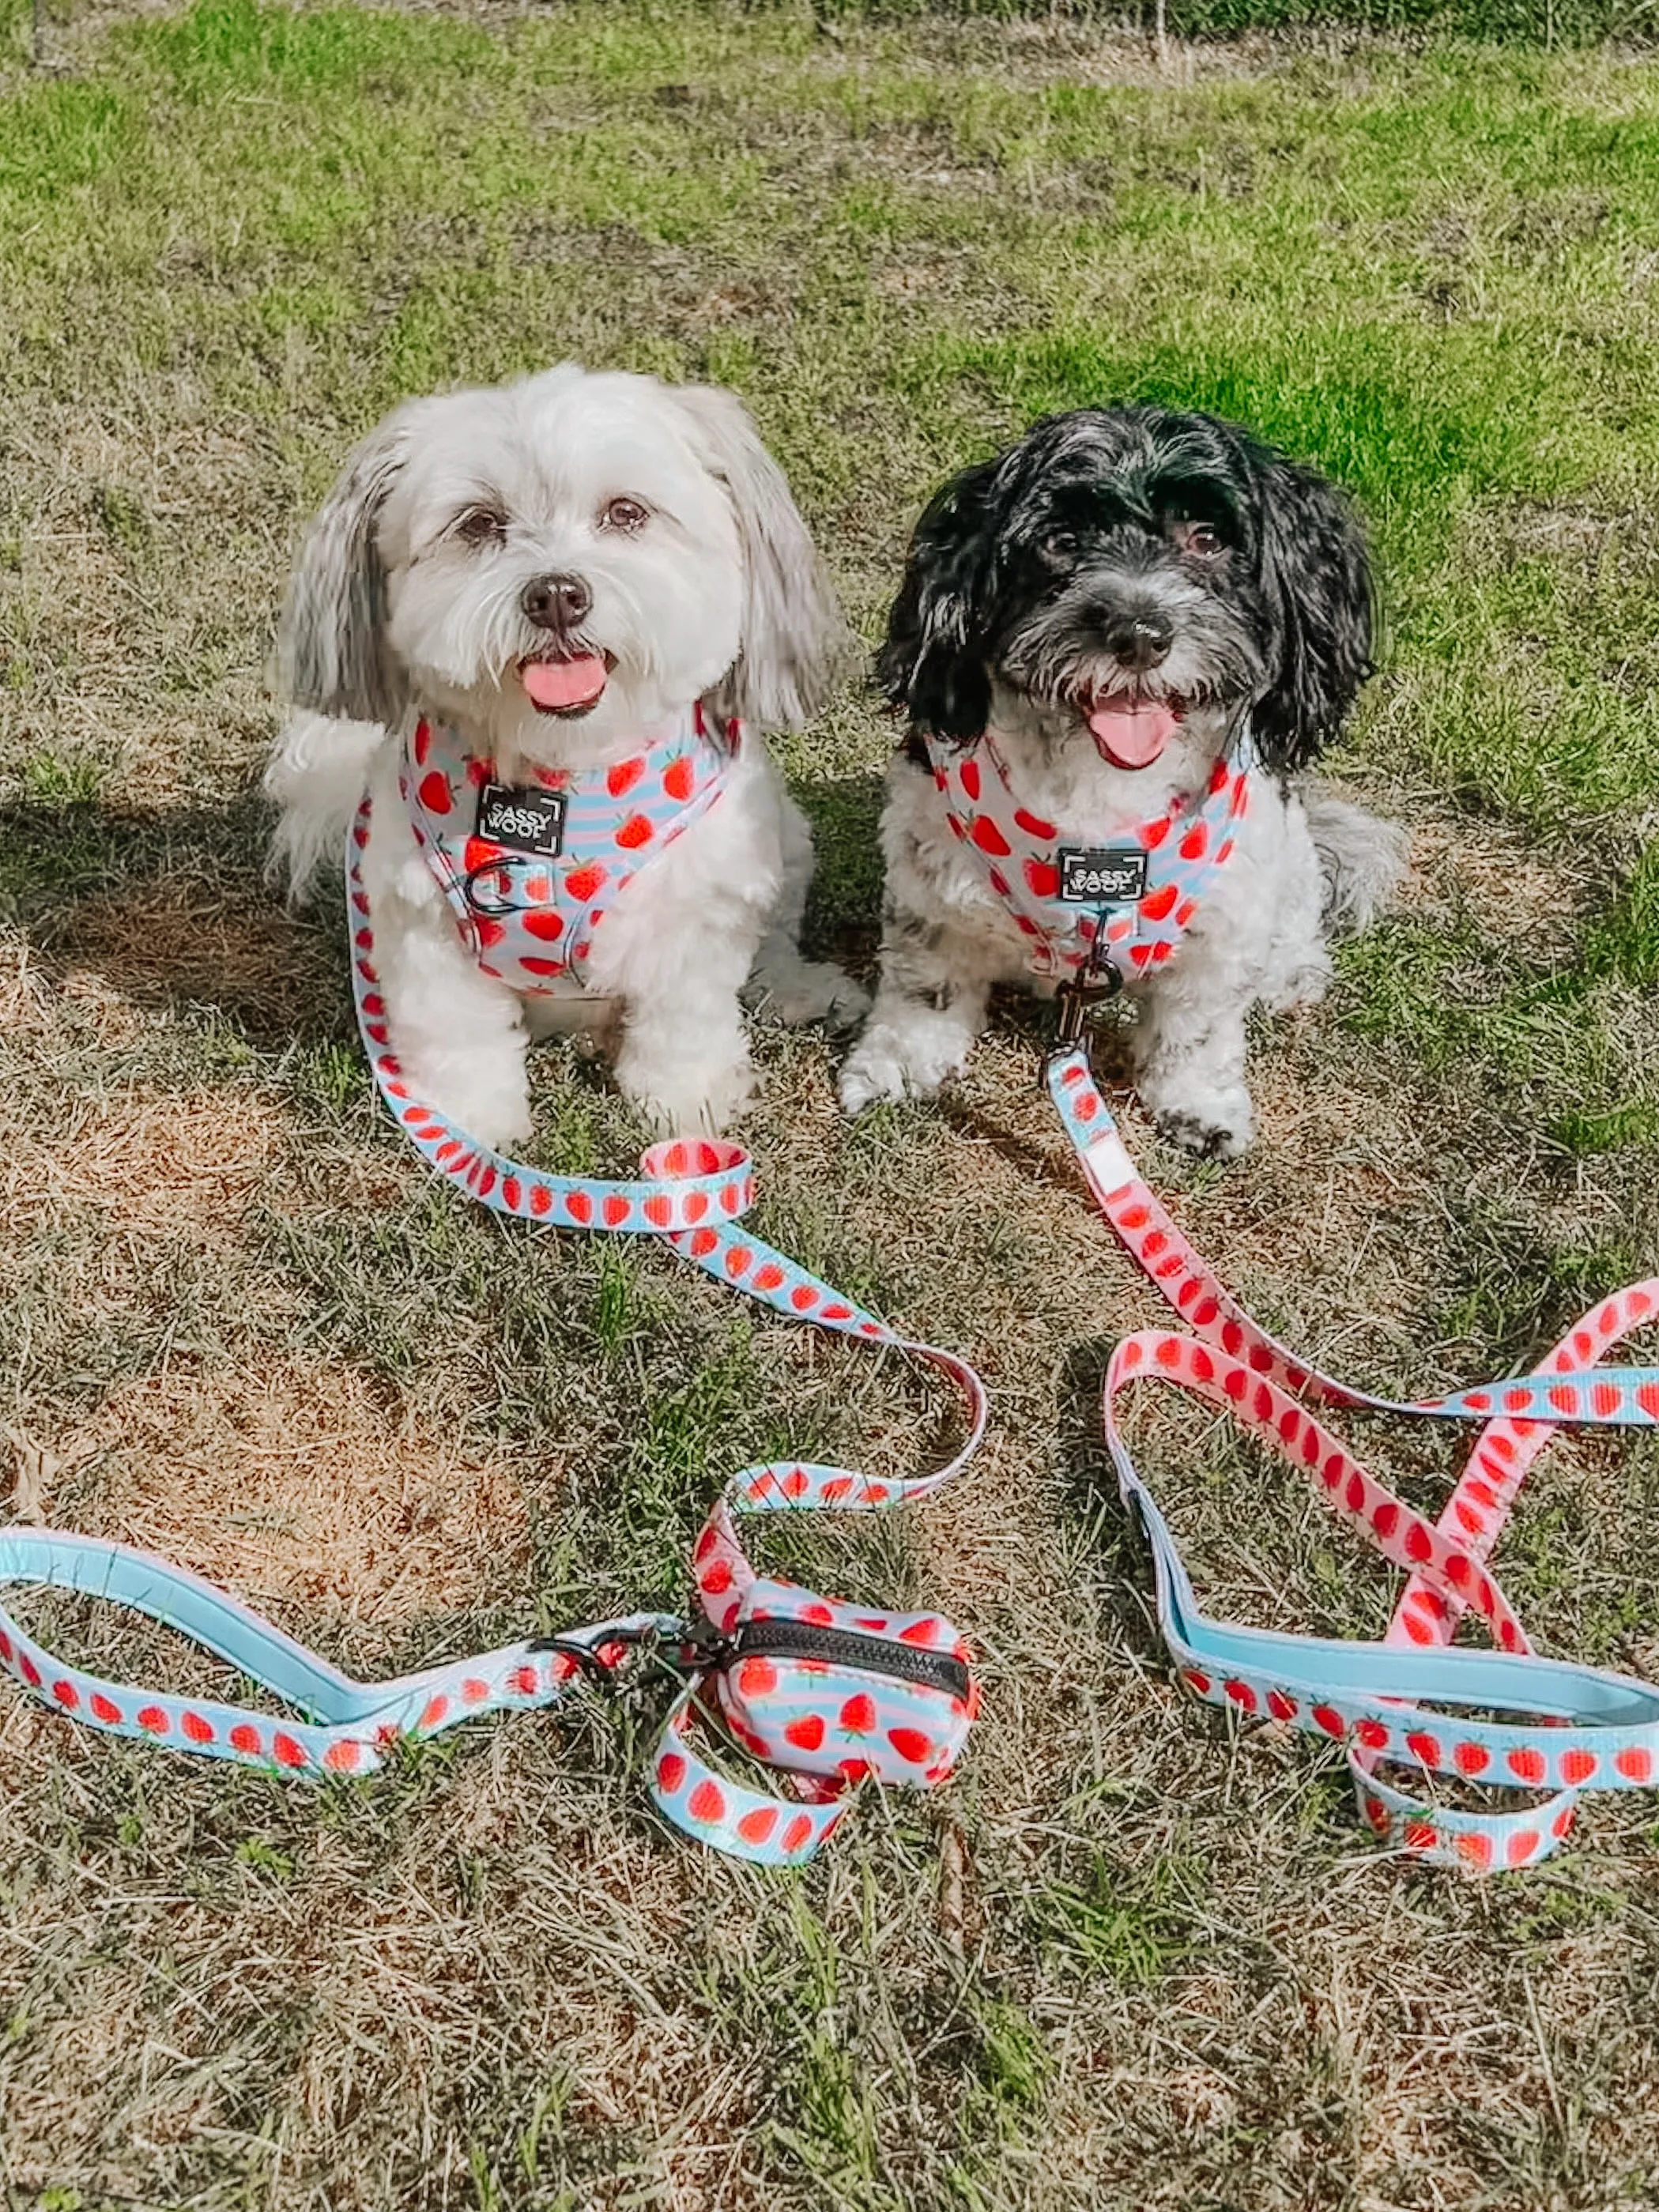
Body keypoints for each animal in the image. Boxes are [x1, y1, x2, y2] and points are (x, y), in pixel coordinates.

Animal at [266, 360, 862, 1141]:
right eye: (479, 523)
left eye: (627, 513)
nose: (555, 593)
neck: (561, 775)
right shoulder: (424, 927)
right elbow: (458, 1038)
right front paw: (467, 1126)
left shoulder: (698, 917)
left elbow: (683, 1024)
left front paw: (685, 1104)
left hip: (781, 843)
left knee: (774, 941)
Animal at [845, 409, 1406, 1159]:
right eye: (1059, 543)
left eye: (1207, 539)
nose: (1139, 632)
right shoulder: (929, 886)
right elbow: (921, 989)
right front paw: (893, 1069)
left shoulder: (1223, 925)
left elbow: (1197, 1029)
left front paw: (1199, 1107)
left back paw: (1292, 972)